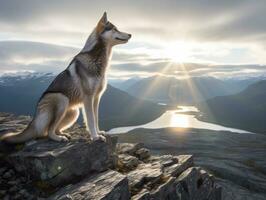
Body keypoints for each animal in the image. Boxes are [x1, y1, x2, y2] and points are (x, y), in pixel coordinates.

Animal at [0, 12, 131, 143]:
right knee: (49, 132)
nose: (130, 34)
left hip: (74, 112)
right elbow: (91, 120)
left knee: (54, 129)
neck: (98, 60)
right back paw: (59, 138)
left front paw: (99, 132)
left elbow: (96, 118)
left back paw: (64, 134)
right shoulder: (88, 98)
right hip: (62, 99)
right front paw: (95, 137)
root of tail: (35, 119)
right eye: (115, 29)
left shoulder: (96, 98)